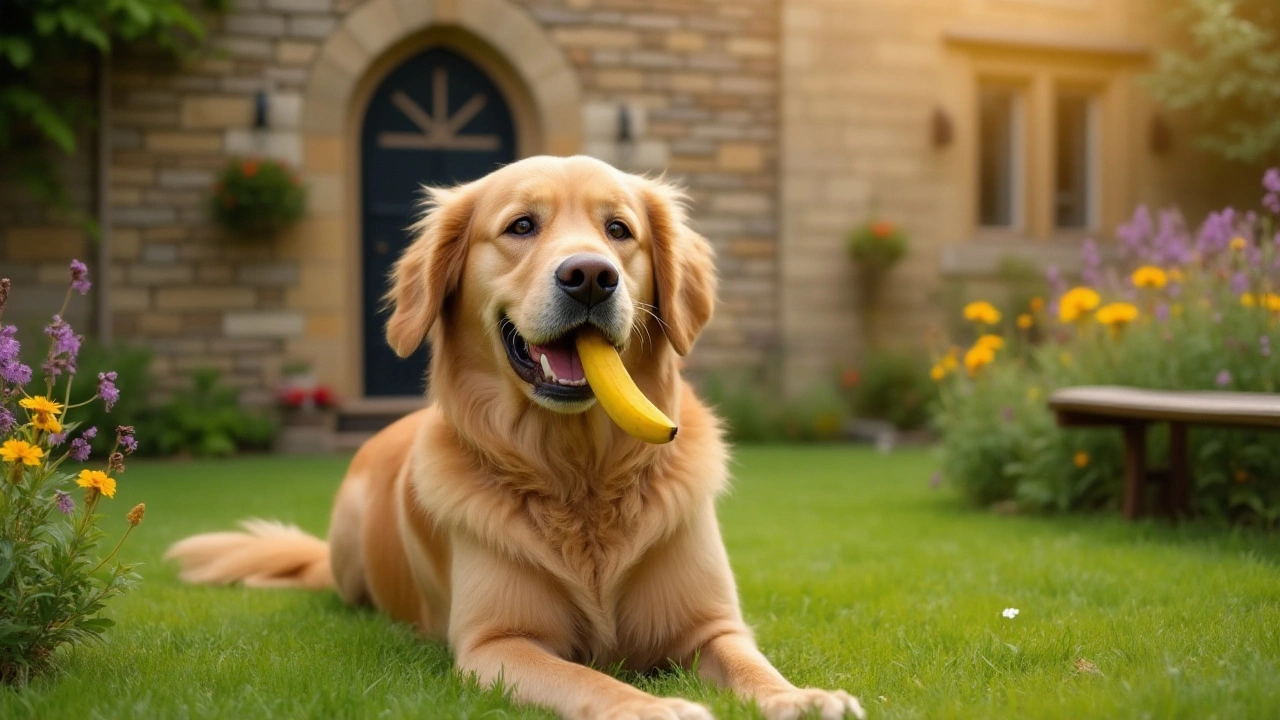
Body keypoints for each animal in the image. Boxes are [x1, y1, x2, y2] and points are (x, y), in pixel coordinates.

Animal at [167, 154, 860, 712]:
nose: (591, 276)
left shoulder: (713, 627)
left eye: (618, 231)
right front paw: (655, 708)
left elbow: (753, 666)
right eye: (522, 226)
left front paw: (804, 698)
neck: (580, 474)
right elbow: (592, 679)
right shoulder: (497, 644)